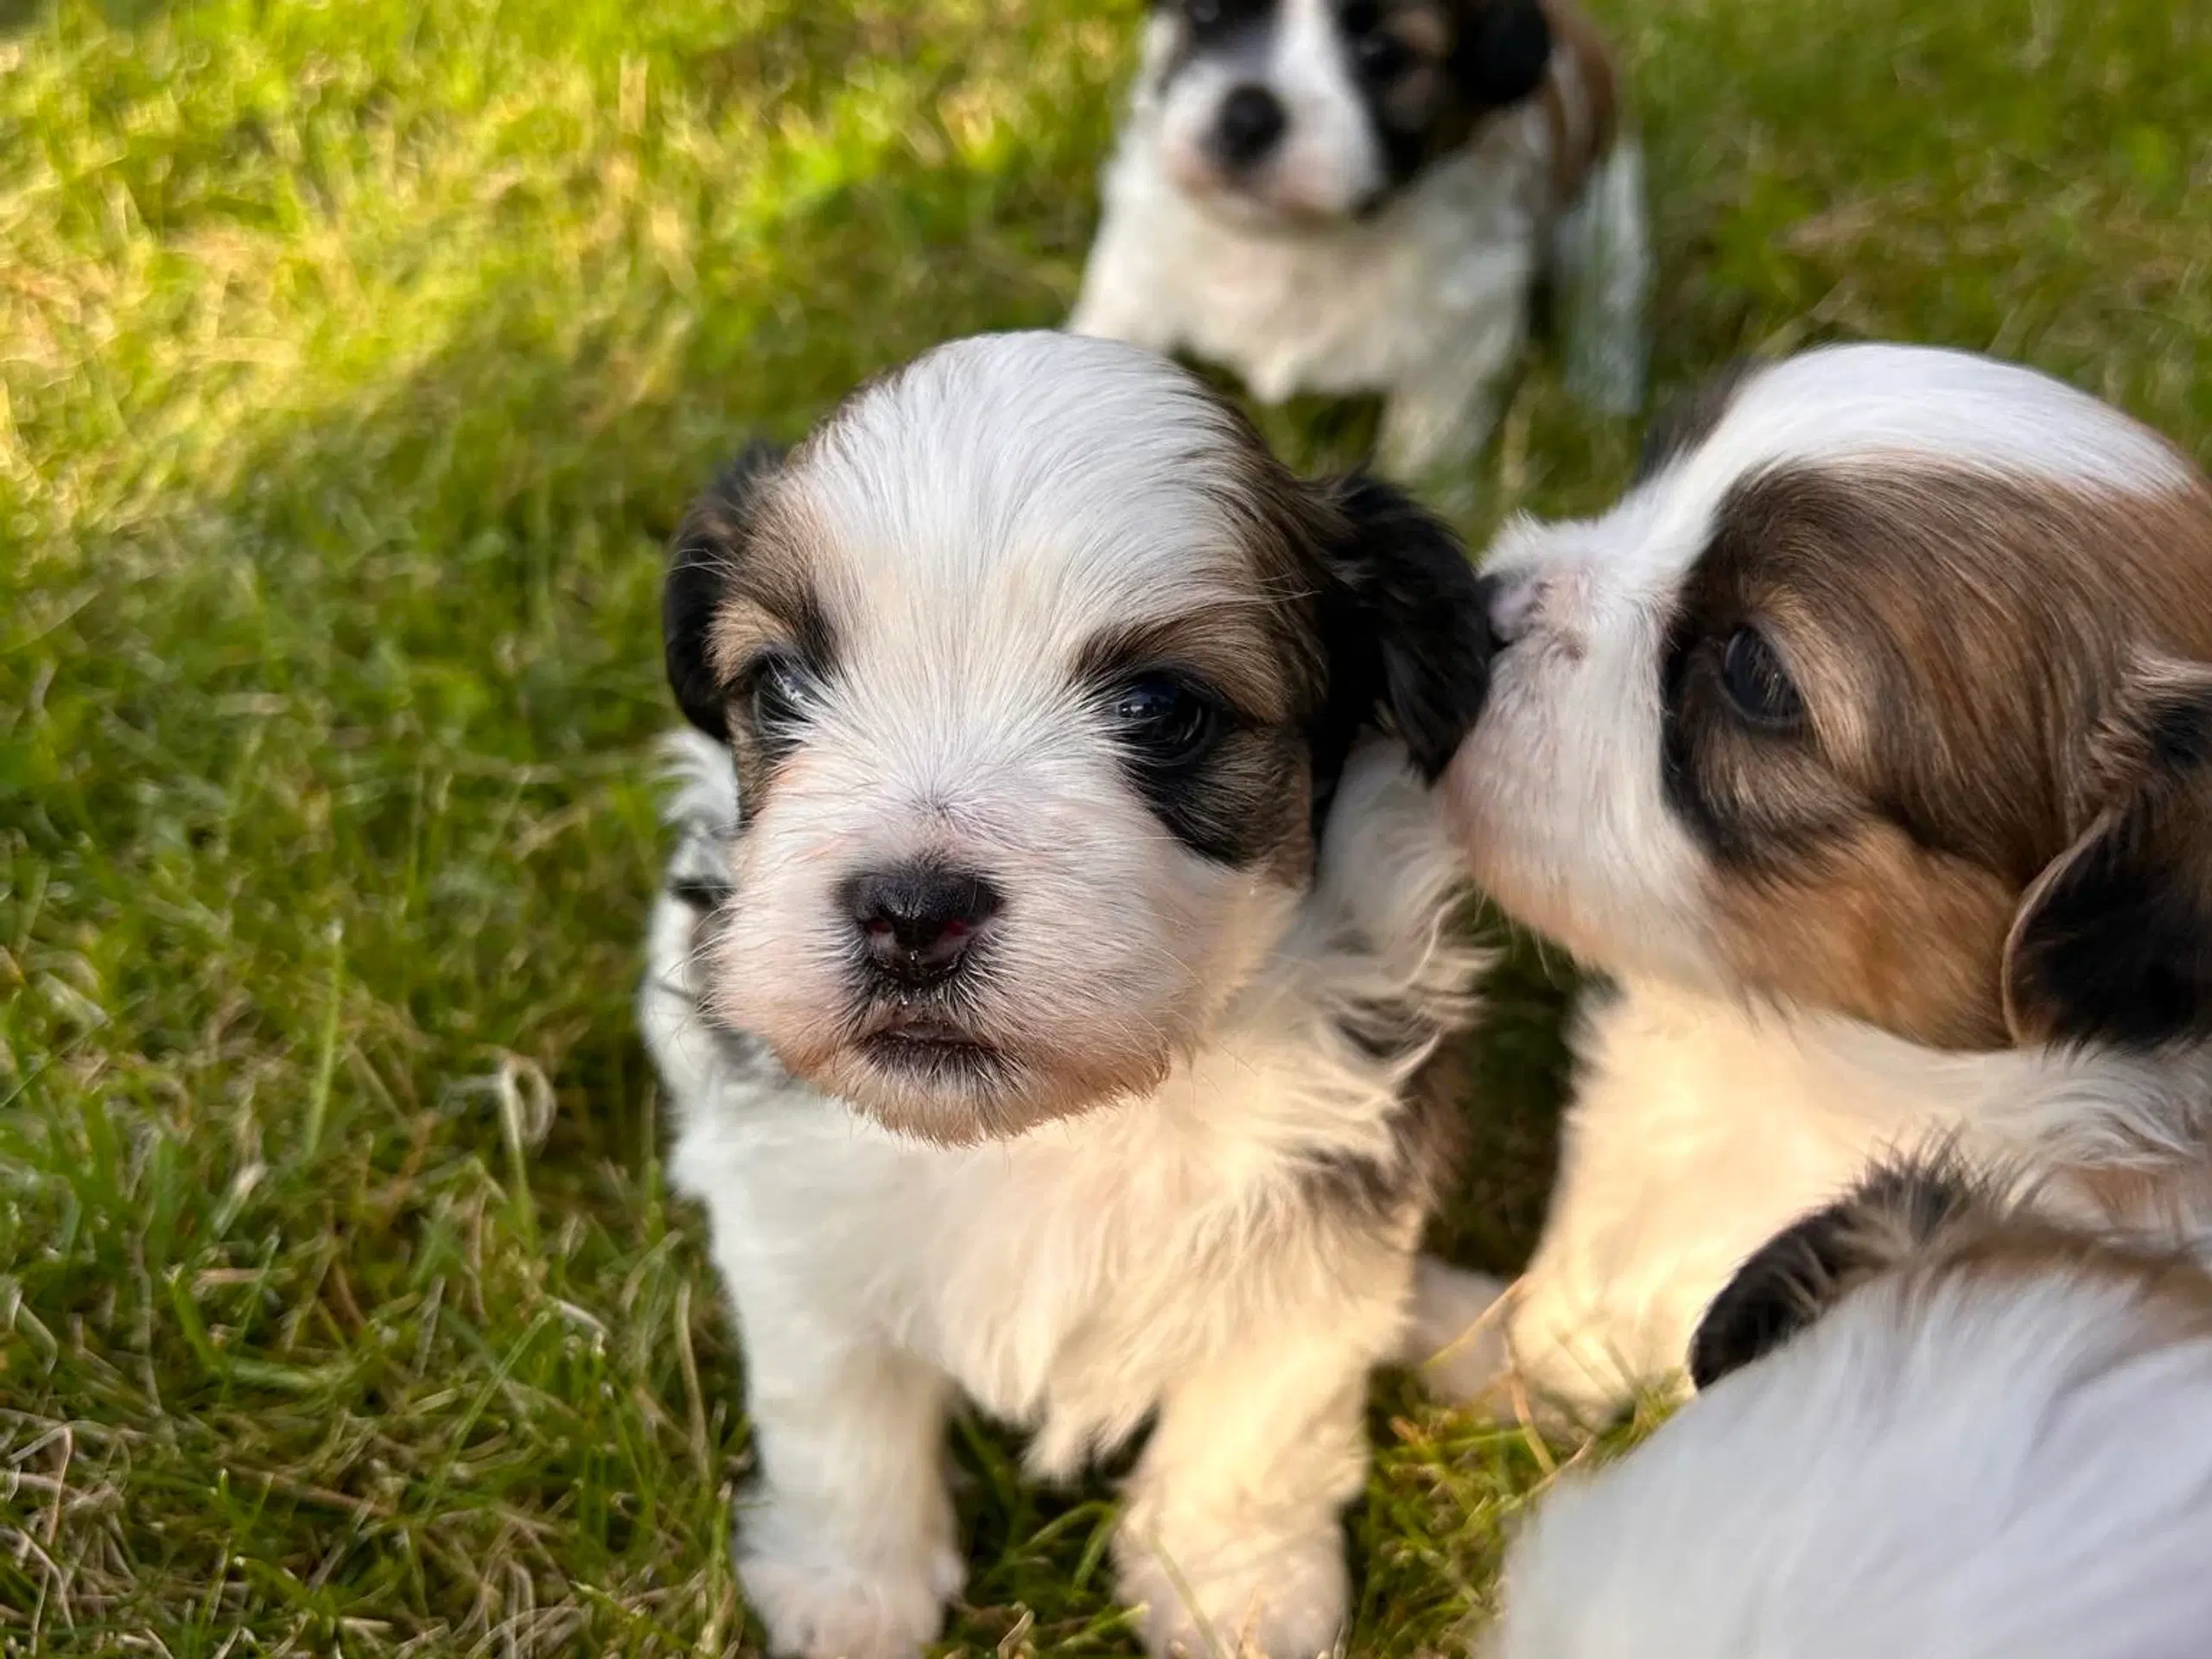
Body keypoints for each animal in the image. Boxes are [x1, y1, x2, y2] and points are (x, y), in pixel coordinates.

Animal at [641, 334, 1503, 1659]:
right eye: (779, 687)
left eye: (1162, 709)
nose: (910, 914)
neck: (1046, 1130)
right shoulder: (793, 1214)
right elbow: (837, 1408)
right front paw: (851, 1590)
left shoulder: (1329, 1210)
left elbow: (1258, 1417)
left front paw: (1233, 1595)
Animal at [1061, 0, 1654, 484]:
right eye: (1206, 13)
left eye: (1382, 52)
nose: (1248, 118)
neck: (1286, 244)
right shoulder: (1137, 278)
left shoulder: (1456, 347)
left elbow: (1425, 454)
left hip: (1604, 205)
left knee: (1607, 293)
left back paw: (1602, 395)